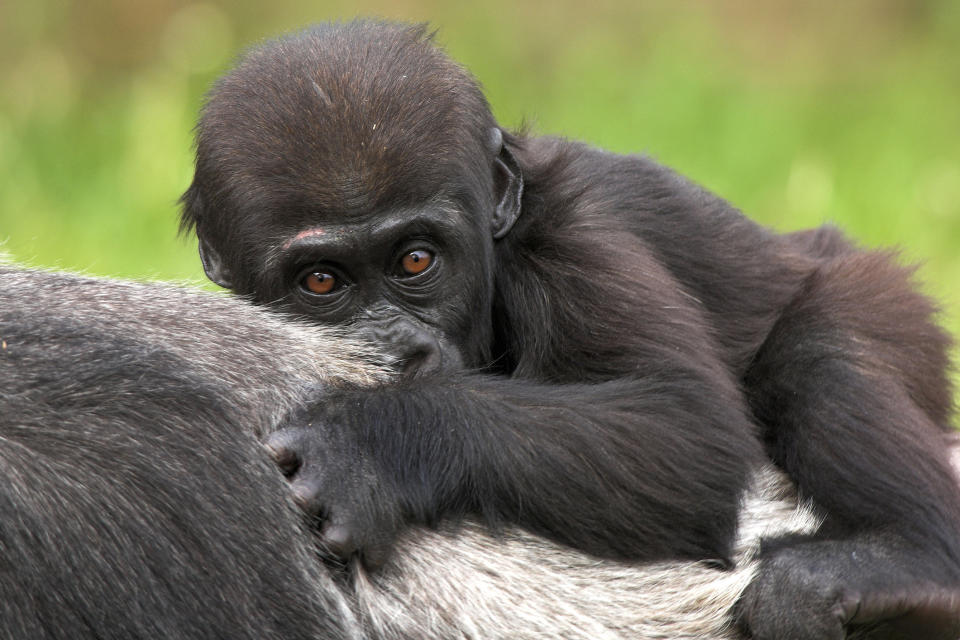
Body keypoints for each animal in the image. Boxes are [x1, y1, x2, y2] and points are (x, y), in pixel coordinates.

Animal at [180, 20, 960, 640]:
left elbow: (686, 428)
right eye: (321, 282)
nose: (395, 351)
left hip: (876, 295)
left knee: (822, 356)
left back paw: (905, 560)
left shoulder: (573, 242)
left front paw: (374, 440)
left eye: (415, 260)